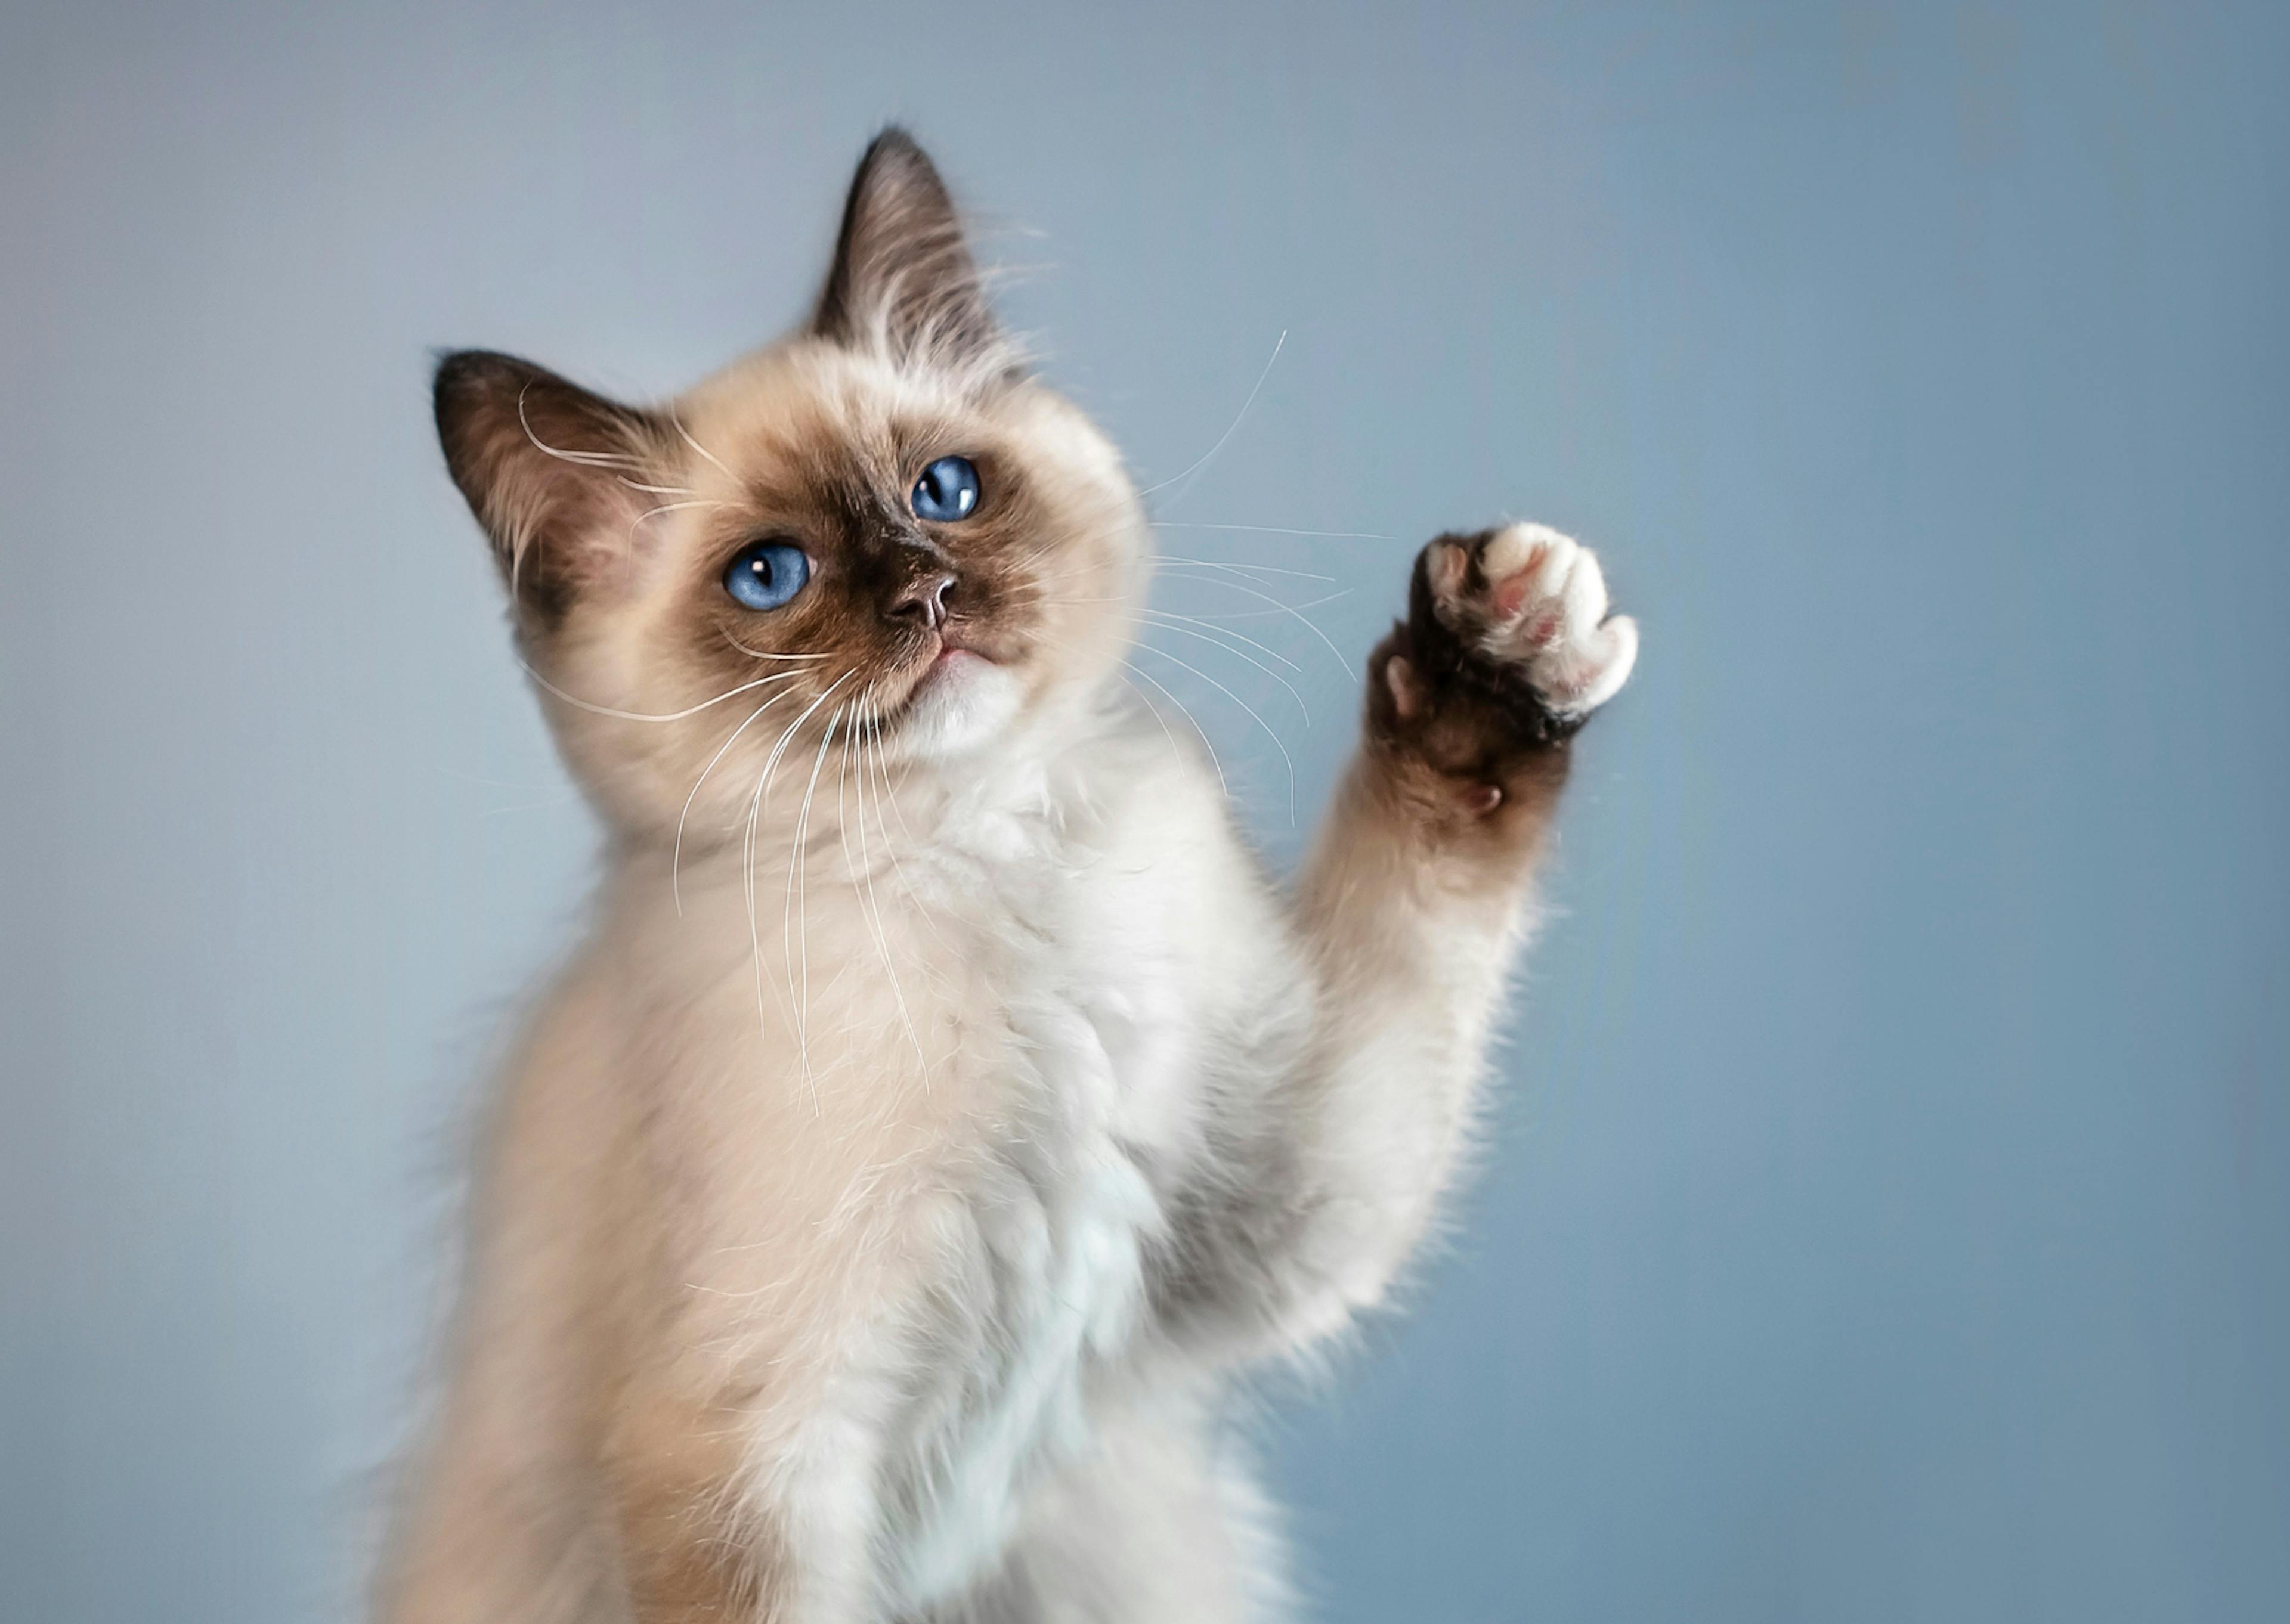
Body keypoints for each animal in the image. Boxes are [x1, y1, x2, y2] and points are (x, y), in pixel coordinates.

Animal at [385, 130, 1648, 1622]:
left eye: (946, 494)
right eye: (771, 576)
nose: (927, 596)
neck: (987, 859)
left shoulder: (1275, 1207)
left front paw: (1500, 652)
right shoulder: (752, 1450)